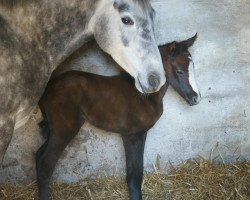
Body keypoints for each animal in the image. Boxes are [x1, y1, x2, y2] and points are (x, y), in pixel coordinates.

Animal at [36, 33, 199, 199]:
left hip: (54, 129)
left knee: (38, 156)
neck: (145, 96)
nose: (196, 98)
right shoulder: (131, 135)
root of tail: (47, 89)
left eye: (193, 67)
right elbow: (133, 176)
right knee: (45, 164)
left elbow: (138, 171)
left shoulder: (142, 134)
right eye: (179, 71)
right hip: (65, 128)